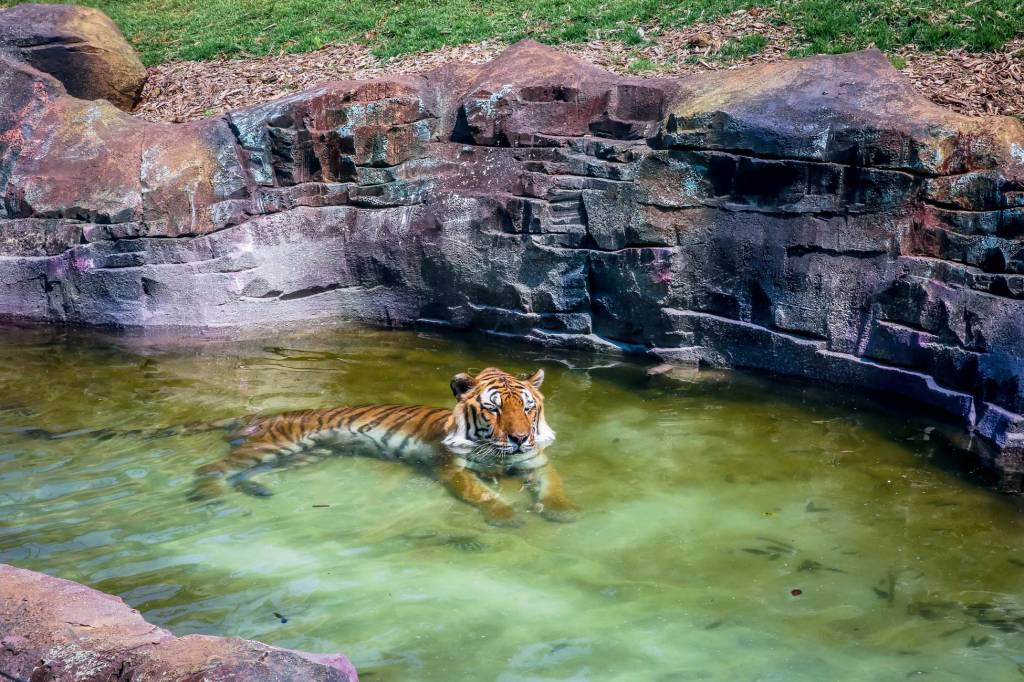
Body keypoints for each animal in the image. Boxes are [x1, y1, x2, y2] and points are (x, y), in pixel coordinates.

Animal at [186, 366, 577, 524]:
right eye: (494, 409)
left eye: (527, 408)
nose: (520, 437)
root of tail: (258, 417)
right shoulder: (450, 467)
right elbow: (480, 492)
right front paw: (506, 516)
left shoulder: (535, 462)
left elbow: (554, 484)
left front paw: (561, 510)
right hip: (275, 445)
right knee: (211, 468)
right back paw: (214, 498)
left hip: (307, 455)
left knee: (243, 473)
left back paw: (259, 489)